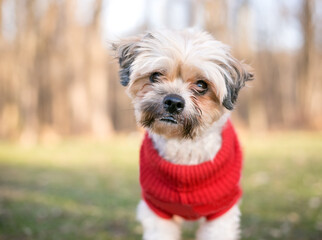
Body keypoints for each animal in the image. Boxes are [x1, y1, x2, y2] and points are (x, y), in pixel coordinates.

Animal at [112, 29, 253, 240]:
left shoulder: (221, 213)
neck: (183, 146)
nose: (173, 102)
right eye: (155, 76)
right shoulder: (157, 211)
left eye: (201, 85)